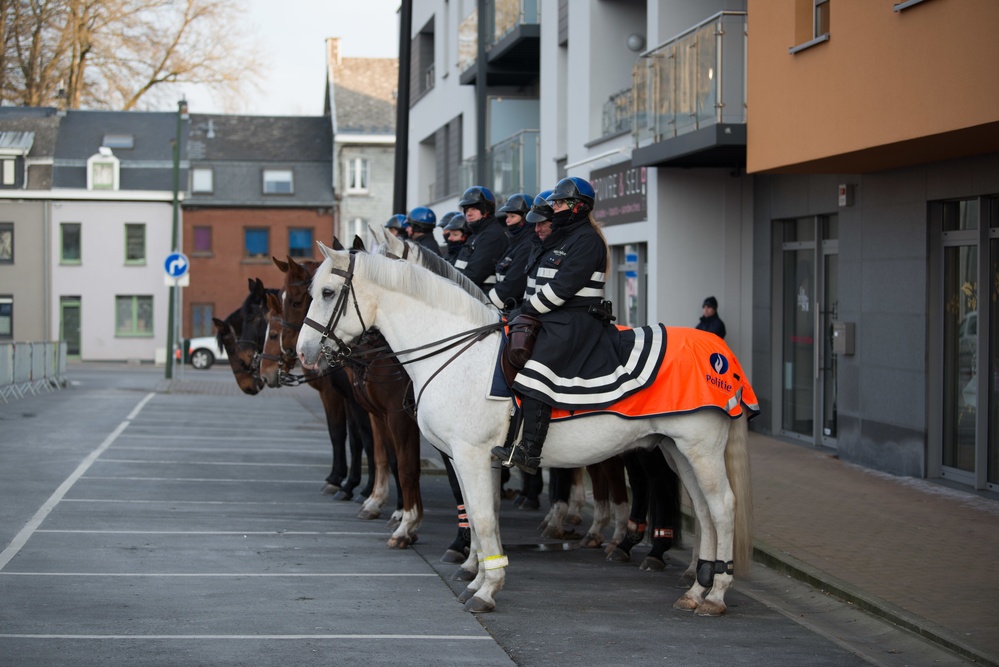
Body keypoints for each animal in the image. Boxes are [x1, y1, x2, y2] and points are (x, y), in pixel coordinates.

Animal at [300, 243, 752, 620]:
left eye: (327, 292)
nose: (303, 353)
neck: (455, 351)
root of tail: (720, 353)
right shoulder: (472, 458)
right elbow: (481, 516)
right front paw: (480, 576)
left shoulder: (468, 453)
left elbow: (481, 517)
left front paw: (486, 590)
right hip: (676, 450)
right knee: (705, 512)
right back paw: (695, 588)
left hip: (699, 449)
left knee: (723, 507)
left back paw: (714, 593)